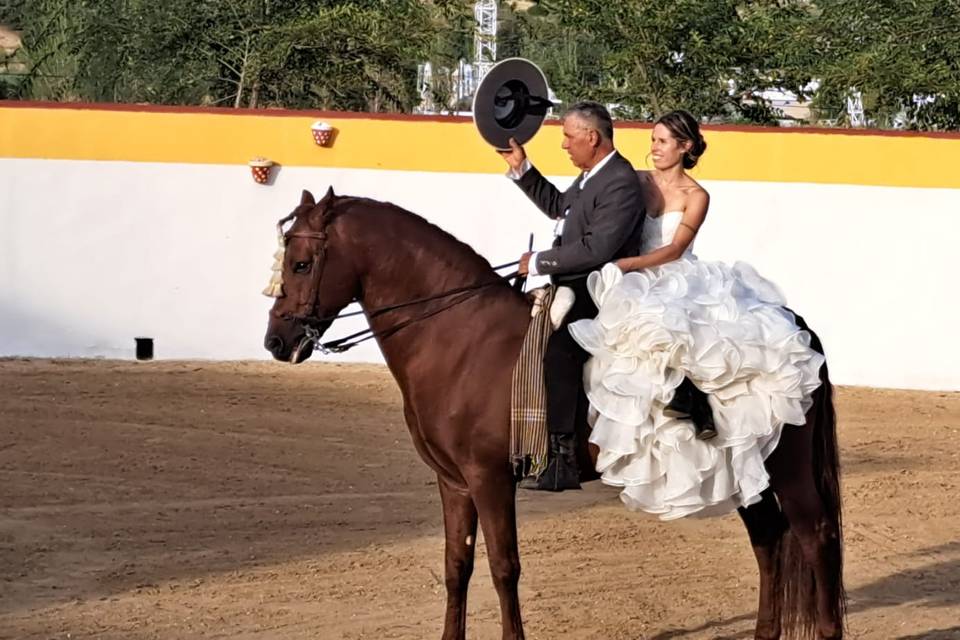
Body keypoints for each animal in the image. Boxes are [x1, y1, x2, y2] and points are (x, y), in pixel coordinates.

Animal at [264, 189, 848, 640]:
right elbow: (457, 566)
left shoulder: (489, 478)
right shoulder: (453, 482)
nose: (277, 341)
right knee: (768, 537)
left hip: (787, 468)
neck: (460, 337)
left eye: (301, 263)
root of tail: (796, 324)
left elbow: (504, 567)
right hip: (745, 468)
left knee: (815, 535)